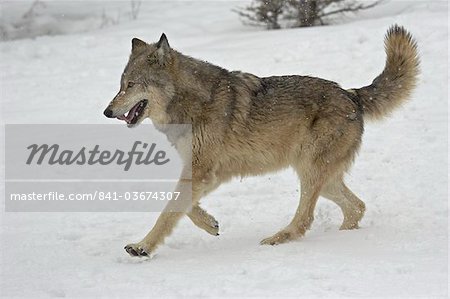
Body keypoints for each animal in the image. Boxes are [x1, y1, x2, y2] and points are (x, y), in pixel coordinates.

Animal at [103, 25, 420, 258]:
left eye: (130, 85)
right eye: (120, 85)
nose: (107, 112)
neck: (191, 102)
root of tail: (352, 95)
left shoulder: (202, 171)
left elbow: (168, 212)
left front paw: (142, 247)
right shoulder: (208, 172)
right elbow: (183, 207)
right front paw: (210, 224)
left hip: (310, 172)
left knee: (306, 219)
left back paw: (277, 239)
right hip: (322, 178)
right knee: (357, 207)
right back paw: (341, 237)